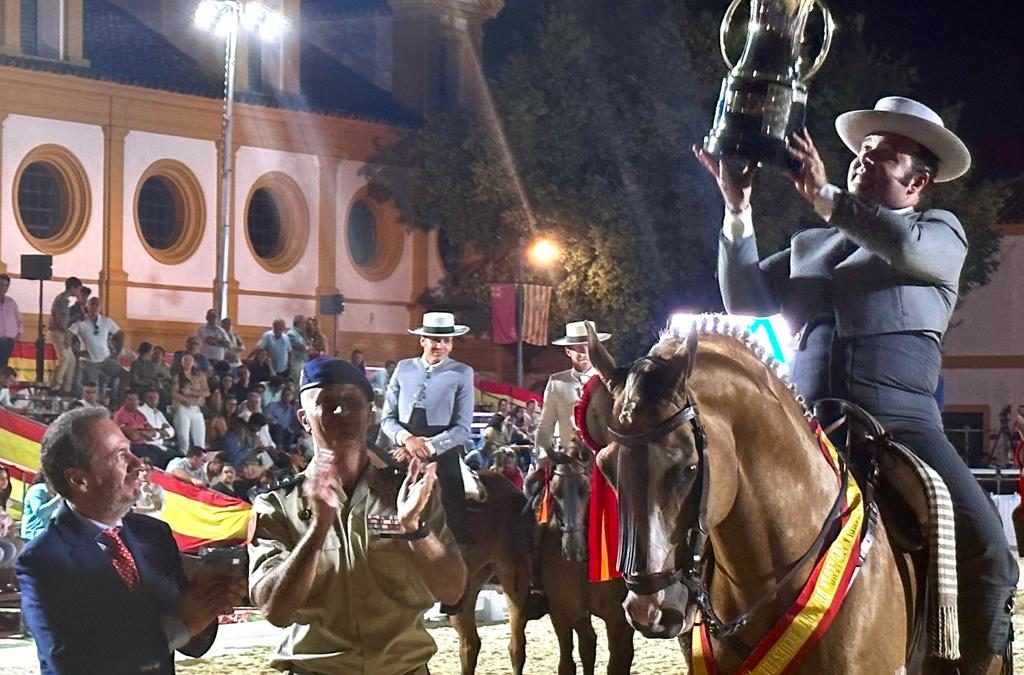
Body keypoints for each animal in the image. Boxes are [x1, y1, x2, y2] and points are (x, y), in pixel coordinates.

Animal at [544, 448, 630, 675]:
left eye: (587, 490)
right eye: (555, 492)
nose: (573, 549)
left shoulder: (617, 617)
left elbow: (616, 663)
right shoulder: (567, 611)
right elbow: (576, 657)